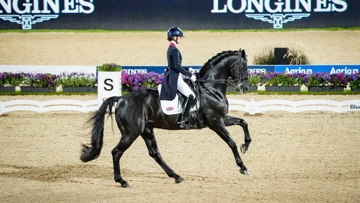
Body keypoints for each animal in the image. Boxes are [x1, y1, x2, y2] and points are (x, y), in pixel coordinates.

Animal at [80, 48, 252, 188]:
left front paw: (246, 145)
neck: (210, 88)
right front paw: (243, 167)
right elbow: (231, 142)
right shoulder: (216, 122)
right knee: (116, 152)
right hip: (131, 133)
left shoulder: (222, 119)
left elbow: (243, 122)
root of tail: (121, 99)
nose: (244, 88)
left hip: (146, 130)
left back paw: (176, 176)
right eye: (244, 66)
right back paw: (122, 181)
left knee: (155, 153)